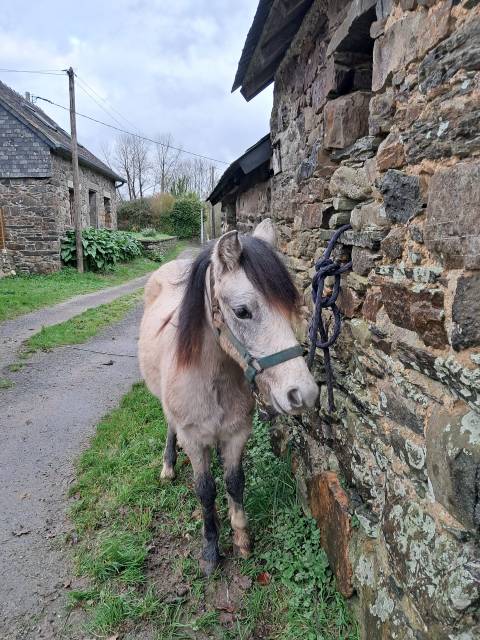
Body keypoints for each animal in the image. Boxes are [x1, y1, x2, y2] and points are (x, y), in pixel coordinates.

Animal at [138, 219, 318, 575]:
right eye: (242, 311)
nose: (303, 393)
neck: (213, 381)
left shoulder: (237, 434)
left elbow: (235, 481)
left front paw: (242, 538)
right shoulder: (194, 439)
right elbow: (205, 491)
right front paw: (211, 551)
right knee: (169, 426)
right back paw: (168, 465)